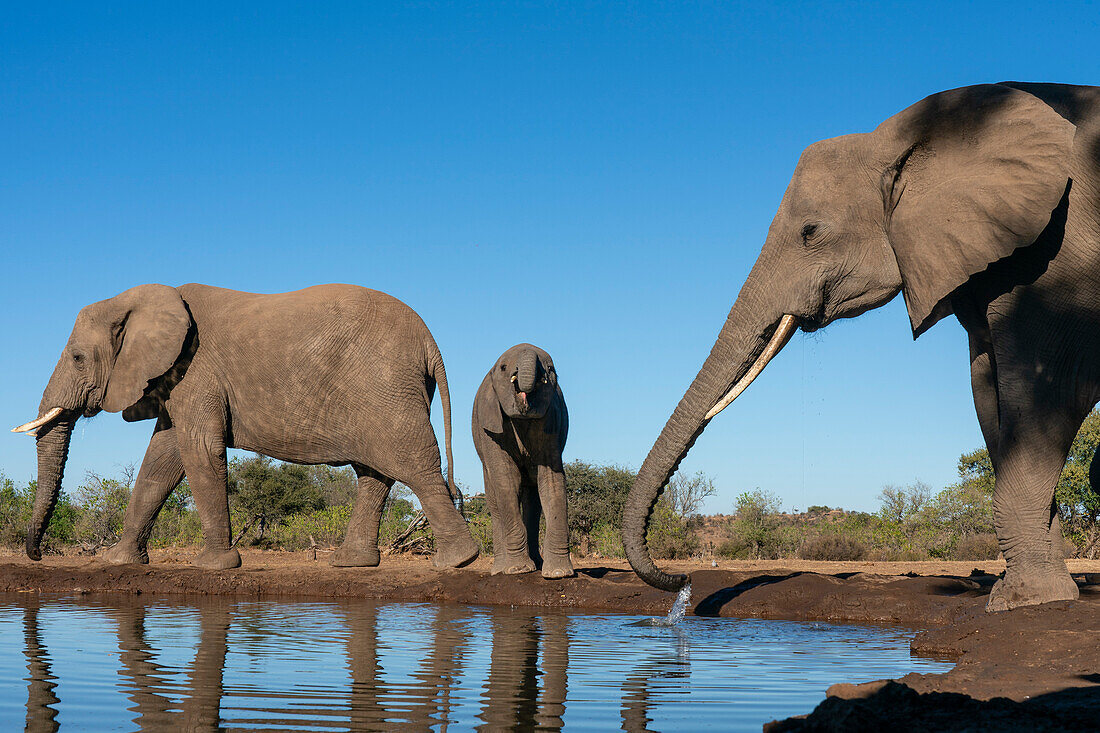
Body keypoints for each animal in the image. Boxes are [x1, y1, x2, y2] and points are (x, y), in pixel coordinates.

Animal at [12, 281, 477, 567]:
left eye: (77, 358)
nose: (36, 554)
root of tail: (430, 341)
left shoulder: (196, 369)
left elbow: (199, 449)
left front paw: (213, 565)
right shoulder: (176, 377)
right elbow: (161, 458)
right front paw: (118, 561)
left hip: (385, 385)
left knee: (412, 462)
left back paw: (459, 560)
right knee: (375, 472)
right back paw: (351, 563)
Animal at [473, 343, 576, 576]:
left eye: (551, 368)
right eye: (503, 367)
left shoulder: (551, 420)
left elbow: (552, 480)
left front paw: (559, 573)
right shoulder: (490, 427)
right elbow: (507, 479)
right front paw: (518, 570)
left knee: (533, 504)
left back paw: (536, 564)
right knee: (495, 502)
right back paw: (500, 569)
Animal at [624, 82, 1100, 611]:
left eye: (811, 232)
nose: (683, 582)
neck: (907, 138)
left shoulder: (1055, 256)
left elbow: (1050, 389)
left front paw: (1025, 601)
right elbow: (987, 391)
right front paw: (1038, 591)